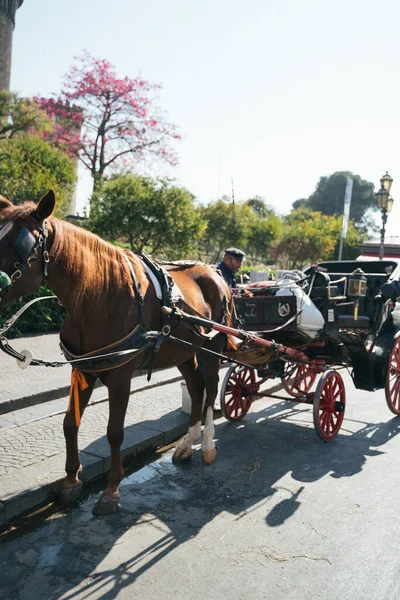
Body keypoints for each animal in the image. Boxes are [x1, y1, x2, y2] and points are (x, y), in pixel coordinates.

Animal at [0, 190, 234, 512]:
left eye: (20, 247)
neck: (98, 295)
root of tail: (215, 273)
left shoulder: (121, 376)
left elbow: (114, 433)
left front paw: (111, 489)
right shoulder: (83, 369)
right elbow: (70, 424)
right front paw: (71, 482)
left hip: (212, 347)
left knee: (211, 388)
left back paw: (208, 445)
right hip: (182, 351)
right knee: (196, 388)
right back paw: (187, 444)